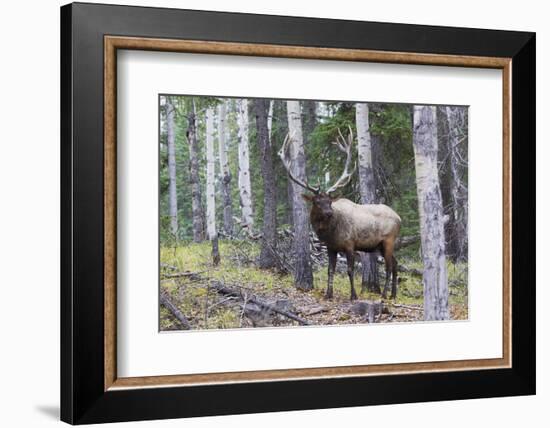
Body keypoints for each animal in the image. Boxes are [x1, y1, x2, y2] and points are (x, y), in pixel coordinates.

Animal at [280, 129, 402, 300]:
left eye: (330, 201)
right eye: (317, 202)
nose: (329, 212)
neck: (330, 233)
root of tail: (399, 218)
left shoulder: (350, 244)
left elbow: (350, 271)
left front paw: (353, 295)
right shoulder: (331, 248)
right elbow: (330, 270)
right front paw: (328, 294)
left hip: (388, 240)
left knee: (389, 267)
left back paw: (384, 295)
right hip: (381, 245)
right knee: (396, 264)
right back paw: (393, 295)